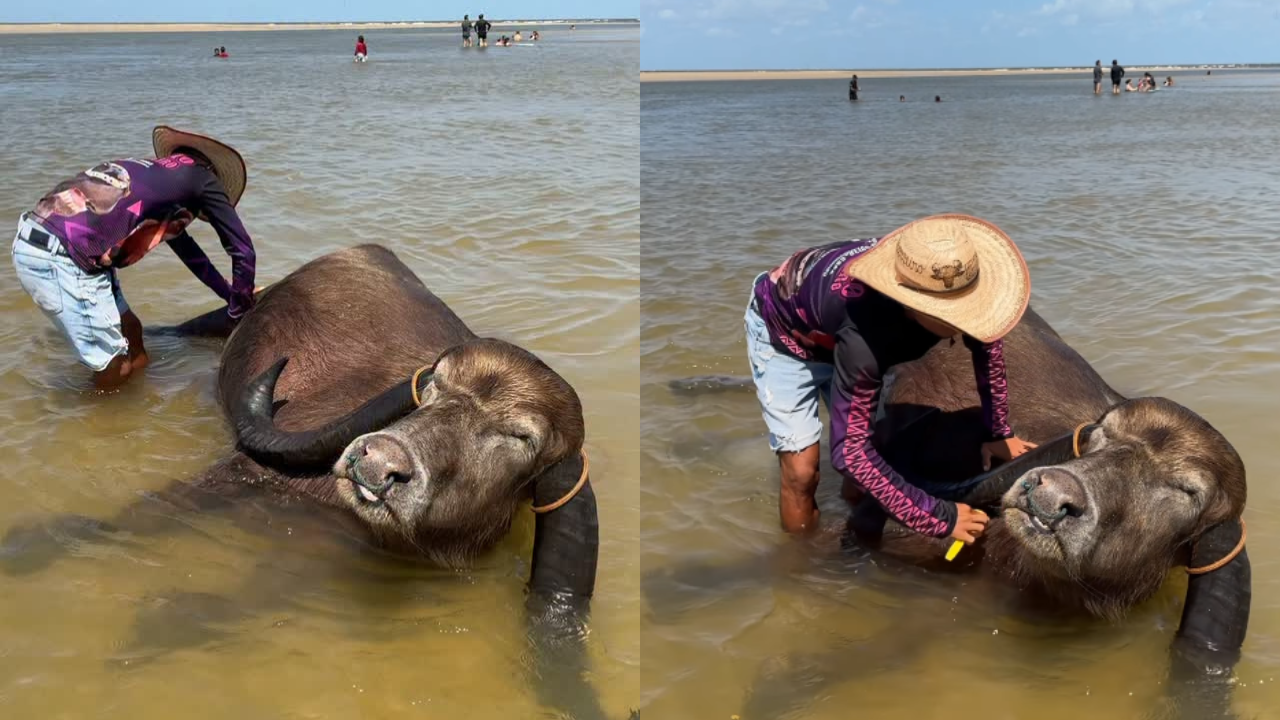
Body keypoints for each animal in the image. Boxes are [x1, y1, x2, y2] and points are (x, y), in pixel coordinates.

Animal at [2, 244, 609, 720]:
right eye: (432, 387)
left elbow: (253, 599)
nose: (376, 462)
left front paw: (165, 623)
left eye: (518, 436)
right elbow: (137, 517)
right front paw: (29, 547)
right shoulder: (246, 473)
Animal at [655, 306, 1249, 720]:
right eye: (1100, 436)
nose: (1049, 495)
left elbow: (887, 647)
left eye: (1185, 490)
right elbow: (781, 561)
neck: (1020, 567)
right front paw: (681, 585)